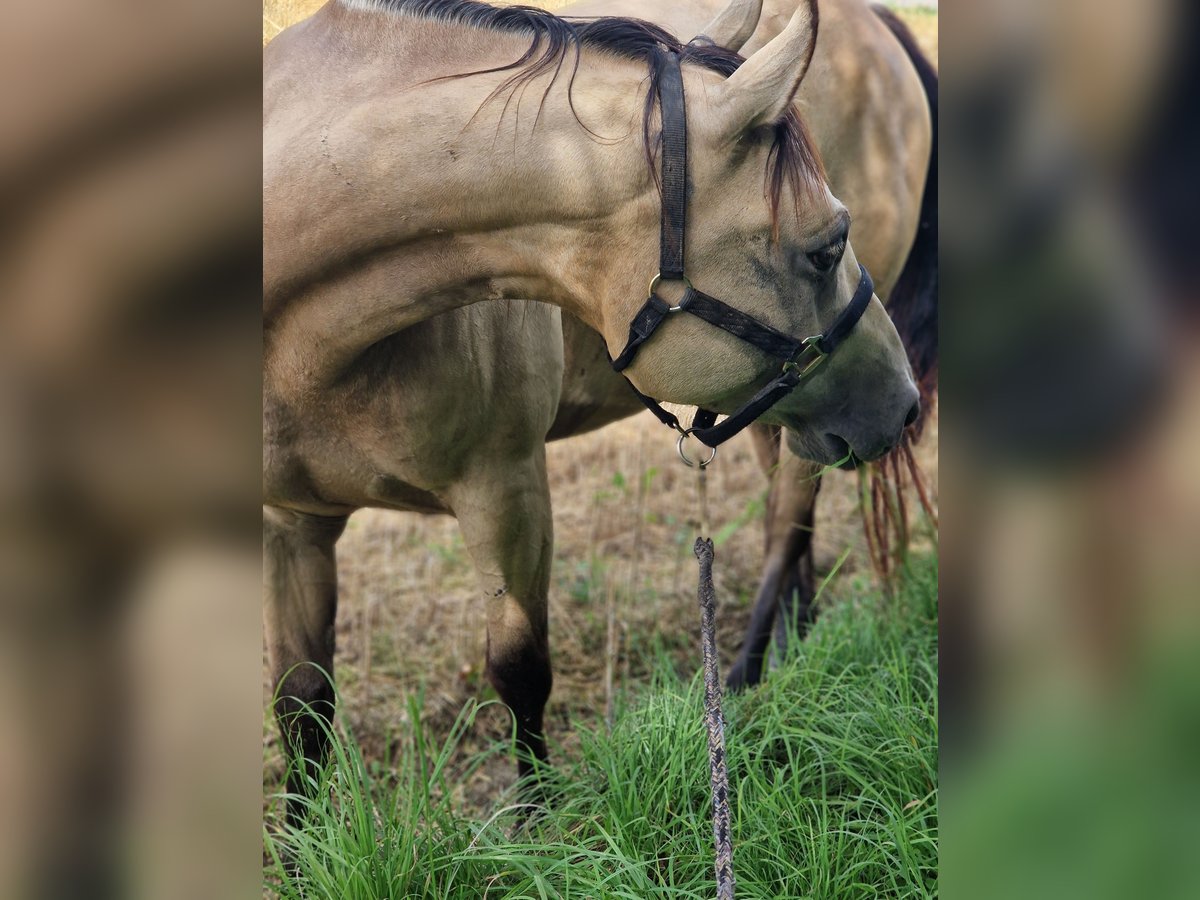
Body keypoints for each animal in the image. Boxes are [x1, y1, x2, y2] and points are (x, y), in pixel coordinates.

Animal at [265, 0, 926, 820]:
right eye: (827, 248)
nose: (905, 404)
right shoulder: (292, 526)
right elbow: (302, 707)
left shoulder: (507, 491)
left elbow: (519, 672)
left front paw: (535, 826)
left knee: (784, 525)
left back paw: (742, 681)